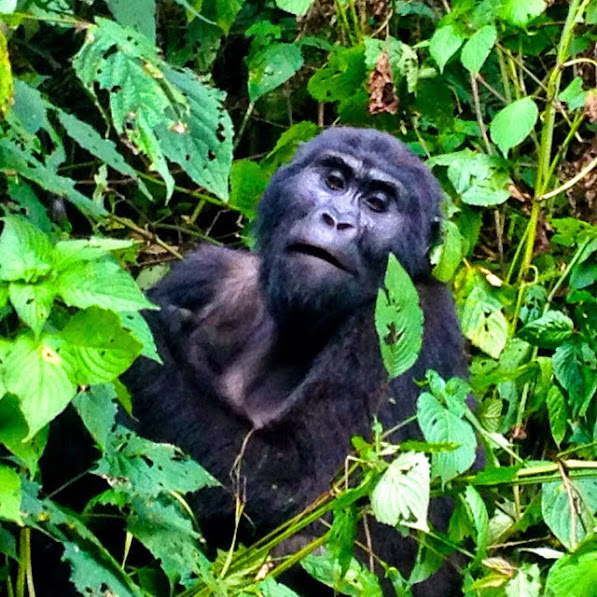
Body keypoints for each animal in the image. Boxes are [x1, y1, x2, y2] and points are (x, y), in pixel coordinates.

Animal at [123, 125, 468, 592]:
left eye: (377, 204)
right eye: (333, 182)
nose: (336, 219)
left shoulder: (411, 317)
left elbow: (303, 493)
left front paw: (141, 330)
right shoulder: (206, 270)